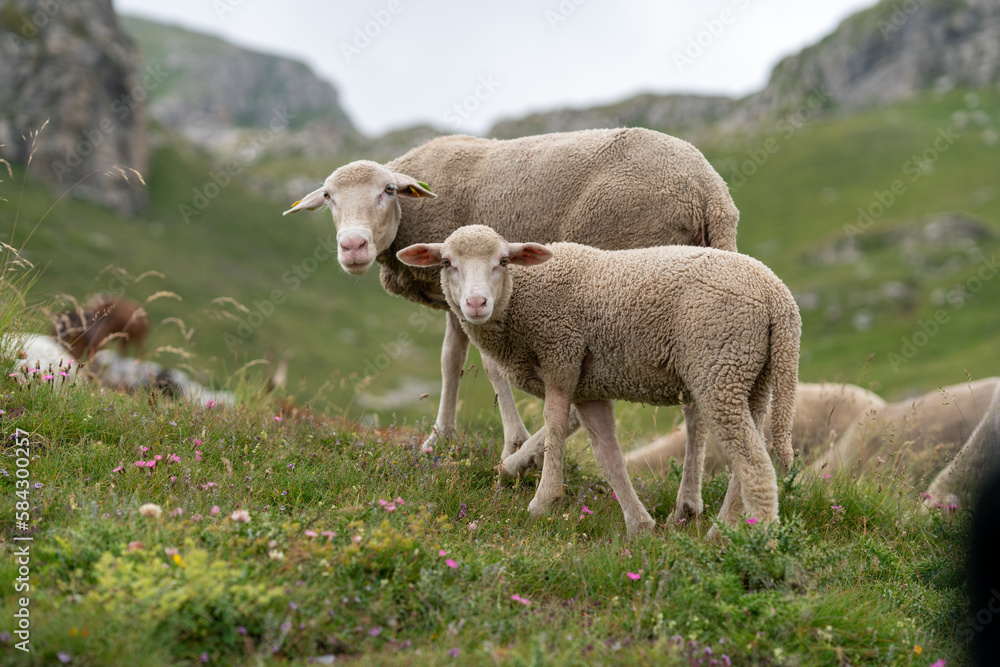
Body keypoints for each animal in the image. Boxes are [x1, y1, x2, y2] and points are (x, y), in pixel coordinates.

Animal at [283, 128, 739, 460]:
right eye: (328, 197)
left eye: (389, 191)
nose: (353, 246)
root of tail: (708, 189)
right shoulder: (457, 288)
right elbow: (451, 360)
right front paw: (440, 437)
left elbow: (490, 366)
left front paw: (512, 439)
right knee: (695, 397)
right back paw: (690, 504)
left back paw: (529, 457)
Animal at [397, 225, 800, 537]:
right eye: (447, 263)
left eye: (504, 261)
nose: (476, 303)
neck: (520, 301)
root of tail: (778, 298)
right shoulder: (588, 386)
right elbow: (608, 456)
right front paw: (639, 525)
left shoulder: (561, 353)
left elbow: (554, 424)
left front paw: (543, 501)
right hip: (750, 376)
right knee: (748, 455)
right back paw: (726, 529)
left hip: (719, 365)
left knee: (754, 462)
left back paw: (753, 541)